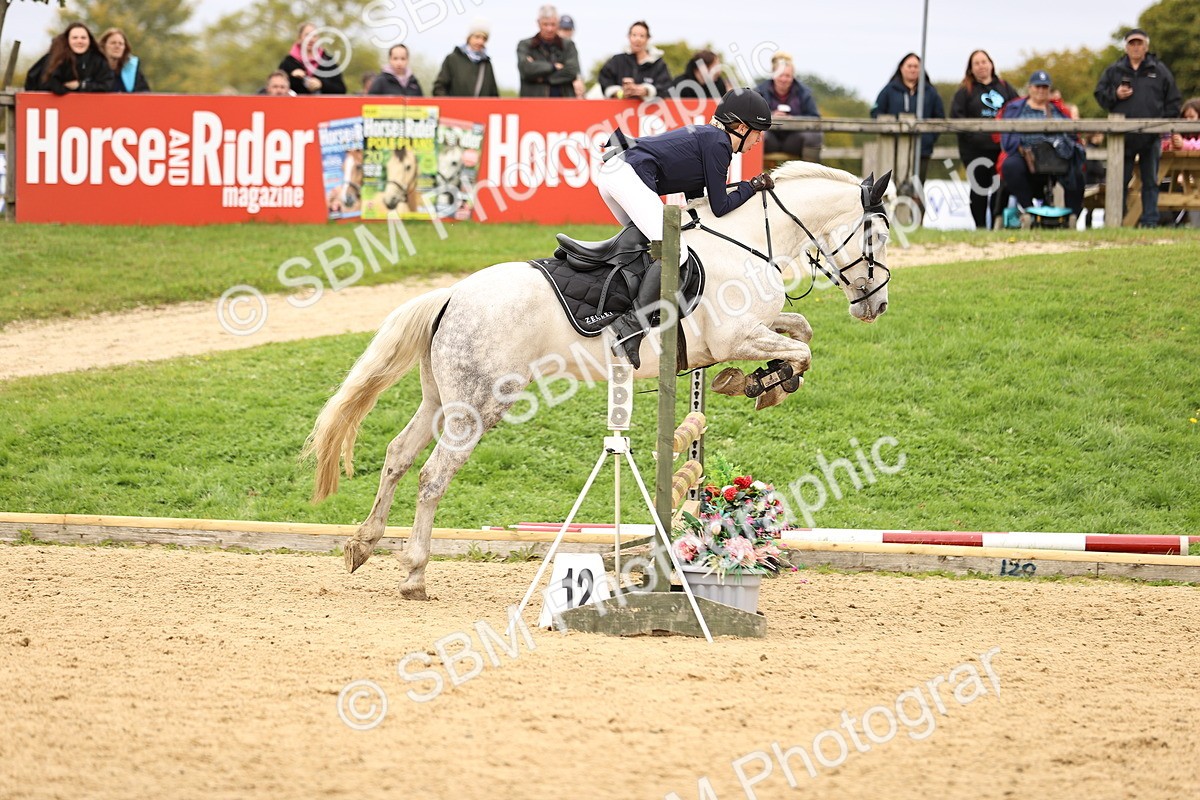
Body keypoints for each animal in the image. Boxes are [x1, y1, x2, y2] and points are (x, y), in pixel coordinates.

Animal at [303, 162, 892, 599]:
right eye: (877, 234)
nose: (876, 306)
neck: (748, 240)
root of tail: (451, 294)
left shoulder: (749, 332)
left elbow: (801, 329)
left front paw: (760, 383)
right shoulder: (738, 335)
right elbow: (800, 348)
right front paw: (764, 382)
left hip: (440, 400)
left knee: (399, 456)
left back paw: (362, 544)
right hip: (479, 405)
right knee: (432, 475)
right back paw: (414, 573)